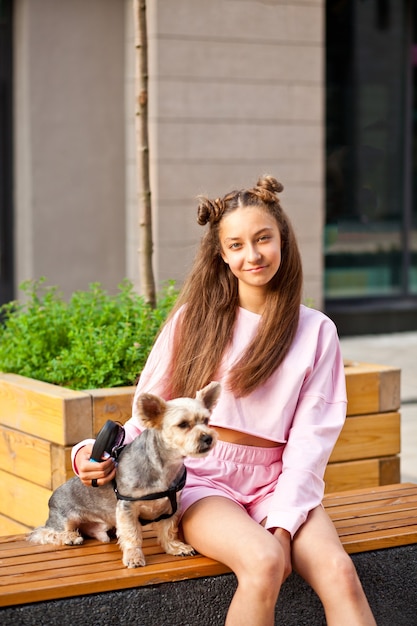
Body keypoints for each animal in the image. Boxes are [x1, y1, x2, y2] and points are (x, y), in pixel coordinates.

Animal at [27, 380, 219, 564]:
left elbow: (168, 530)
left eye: (206, 420)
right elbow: (132, 534)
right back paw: (70, 537)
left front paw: (175, 547)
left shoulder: (171, 507)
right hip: (63, 520)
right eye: (183, 424)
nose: (208, 437)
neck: (165, 466)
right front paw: (134, 557)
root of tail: (51, 497)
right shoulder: (127, 509)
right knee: (42, 533)